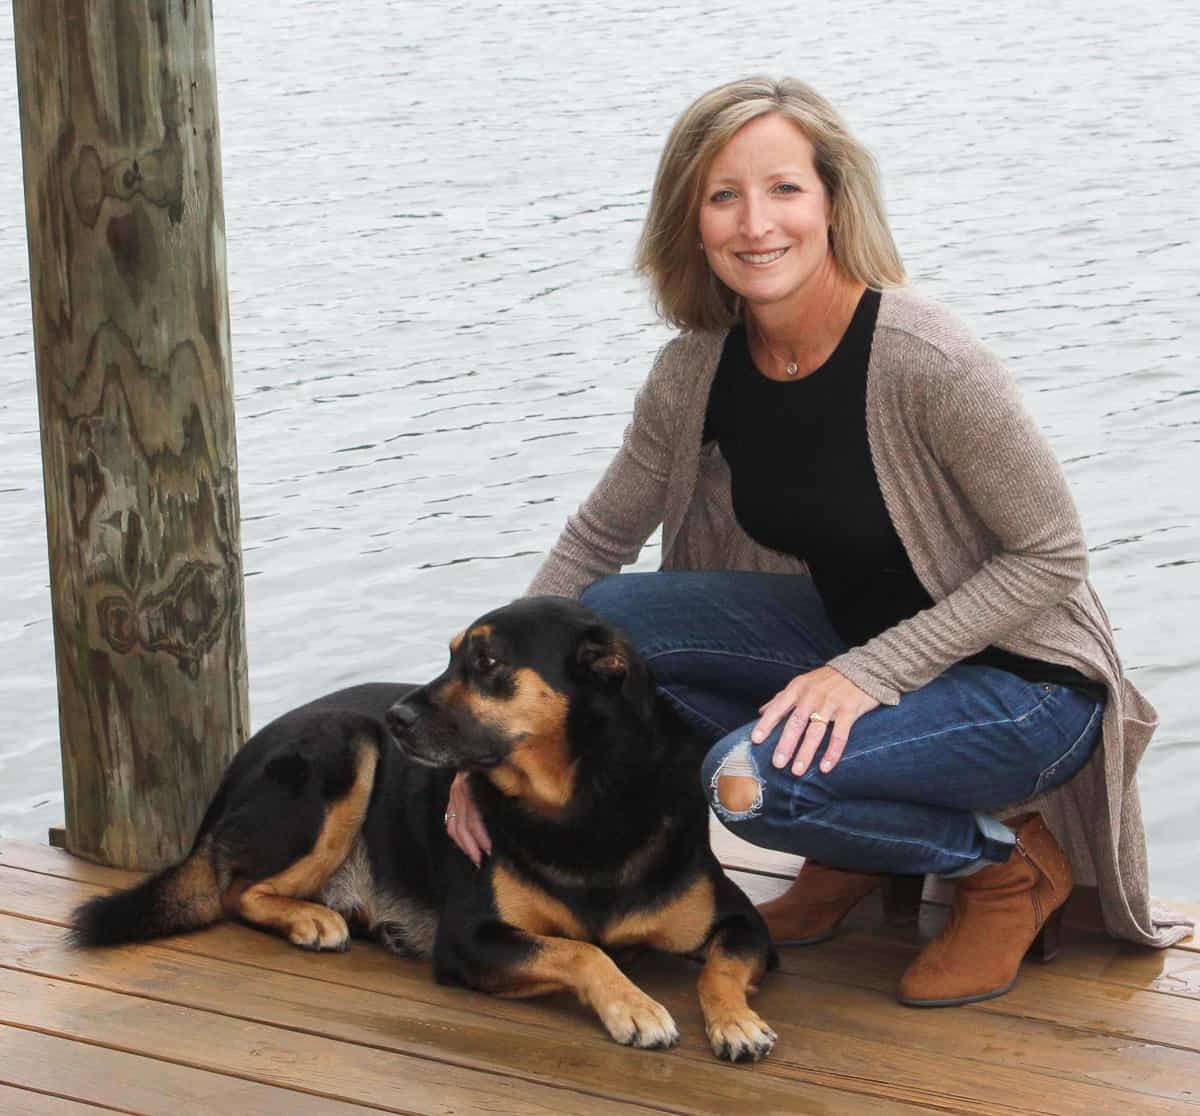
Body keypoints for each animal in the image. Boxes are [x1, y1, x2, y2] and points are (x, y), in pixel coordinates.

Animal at [72, 595, 777, 1056]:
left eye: (486, 662)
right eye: (452, 657)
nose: (397, 718)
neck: (580, 800)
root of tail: (230, 773)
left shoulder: (743, 924)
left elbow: (719, 966)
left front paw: (736, 1021)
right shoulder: (469, 939)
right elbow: (582, 950)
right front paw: (634, 1005)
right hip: (344, 746)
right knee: (235, 889)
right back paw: (312, 919)